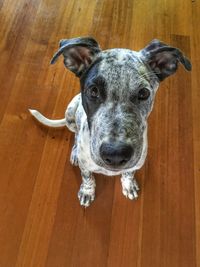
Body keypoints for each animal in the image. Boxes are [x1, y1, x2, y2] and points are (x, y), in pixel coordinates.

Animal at [28, 37, 191, 208]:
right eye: (93, 91)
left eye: (144, 93)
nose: (115, 155)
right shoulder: (85, 166)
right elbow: (87, 176)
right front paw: (87, 191)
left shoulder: (136, 163)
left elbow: (129, 172)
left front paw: (128, 184)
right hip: (70, 113)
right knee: (76, 134)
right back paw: (75, 151)